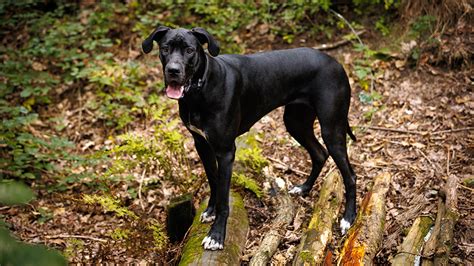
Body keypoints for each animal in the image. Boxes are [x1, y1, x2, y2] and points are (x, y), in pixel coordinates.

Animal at [143, 26, 358, 250]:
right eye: (165, 48)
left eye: (189, 50)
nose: (173, 71)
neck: (200, 90)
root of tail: (337, 63)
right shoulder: (201, 144)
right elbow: (213, 181)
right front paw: (210, 211)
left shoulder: (225, 151)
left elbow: (224, 199)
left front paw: (216, 235)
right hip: (296, 122)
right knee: (319, 153)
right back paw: (304, 188)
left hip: (331, 128)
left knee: (350, 175)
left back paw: (348, 218)